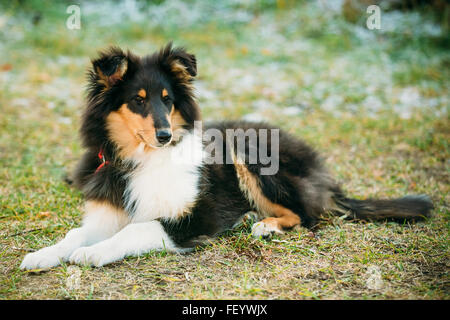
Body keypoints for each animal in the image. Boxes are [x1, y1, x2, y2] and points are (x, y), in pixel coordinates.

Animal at [20, 42, 432, 268]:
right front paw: (43, 255)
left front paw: (93, 254)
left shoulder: (192, 217)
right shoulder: (108, 212)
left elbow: (137, 229)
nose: (165, 136)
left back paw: (264, 224)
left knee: (307, 216)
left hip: (249, 151)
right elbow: (75, 233)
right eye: (138, 101)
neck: (140, 159)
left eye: (168, 100)